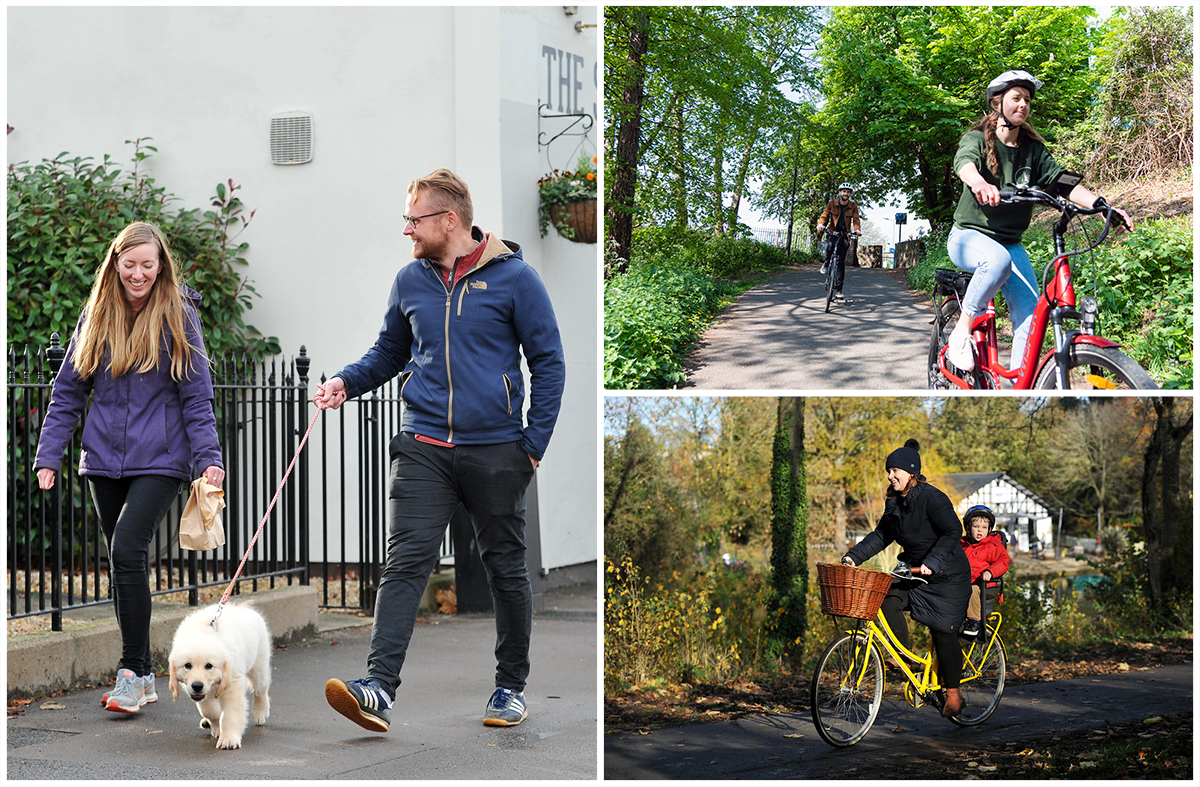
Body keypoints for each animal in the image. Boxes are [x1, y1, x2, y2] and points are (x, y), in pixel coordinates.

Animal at [168, 602, 273, 748]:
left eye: (209, 666)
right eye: (187, 665)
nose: (197, 686)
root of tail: (244, 607)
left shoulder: (232, 683)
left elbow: (230, 714)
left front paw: (229, 739)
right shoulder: (203, 695)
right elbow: (209, 710)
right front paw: (216, 725)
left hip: (259, 665)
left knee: (261, 689)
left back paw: (261, 712)